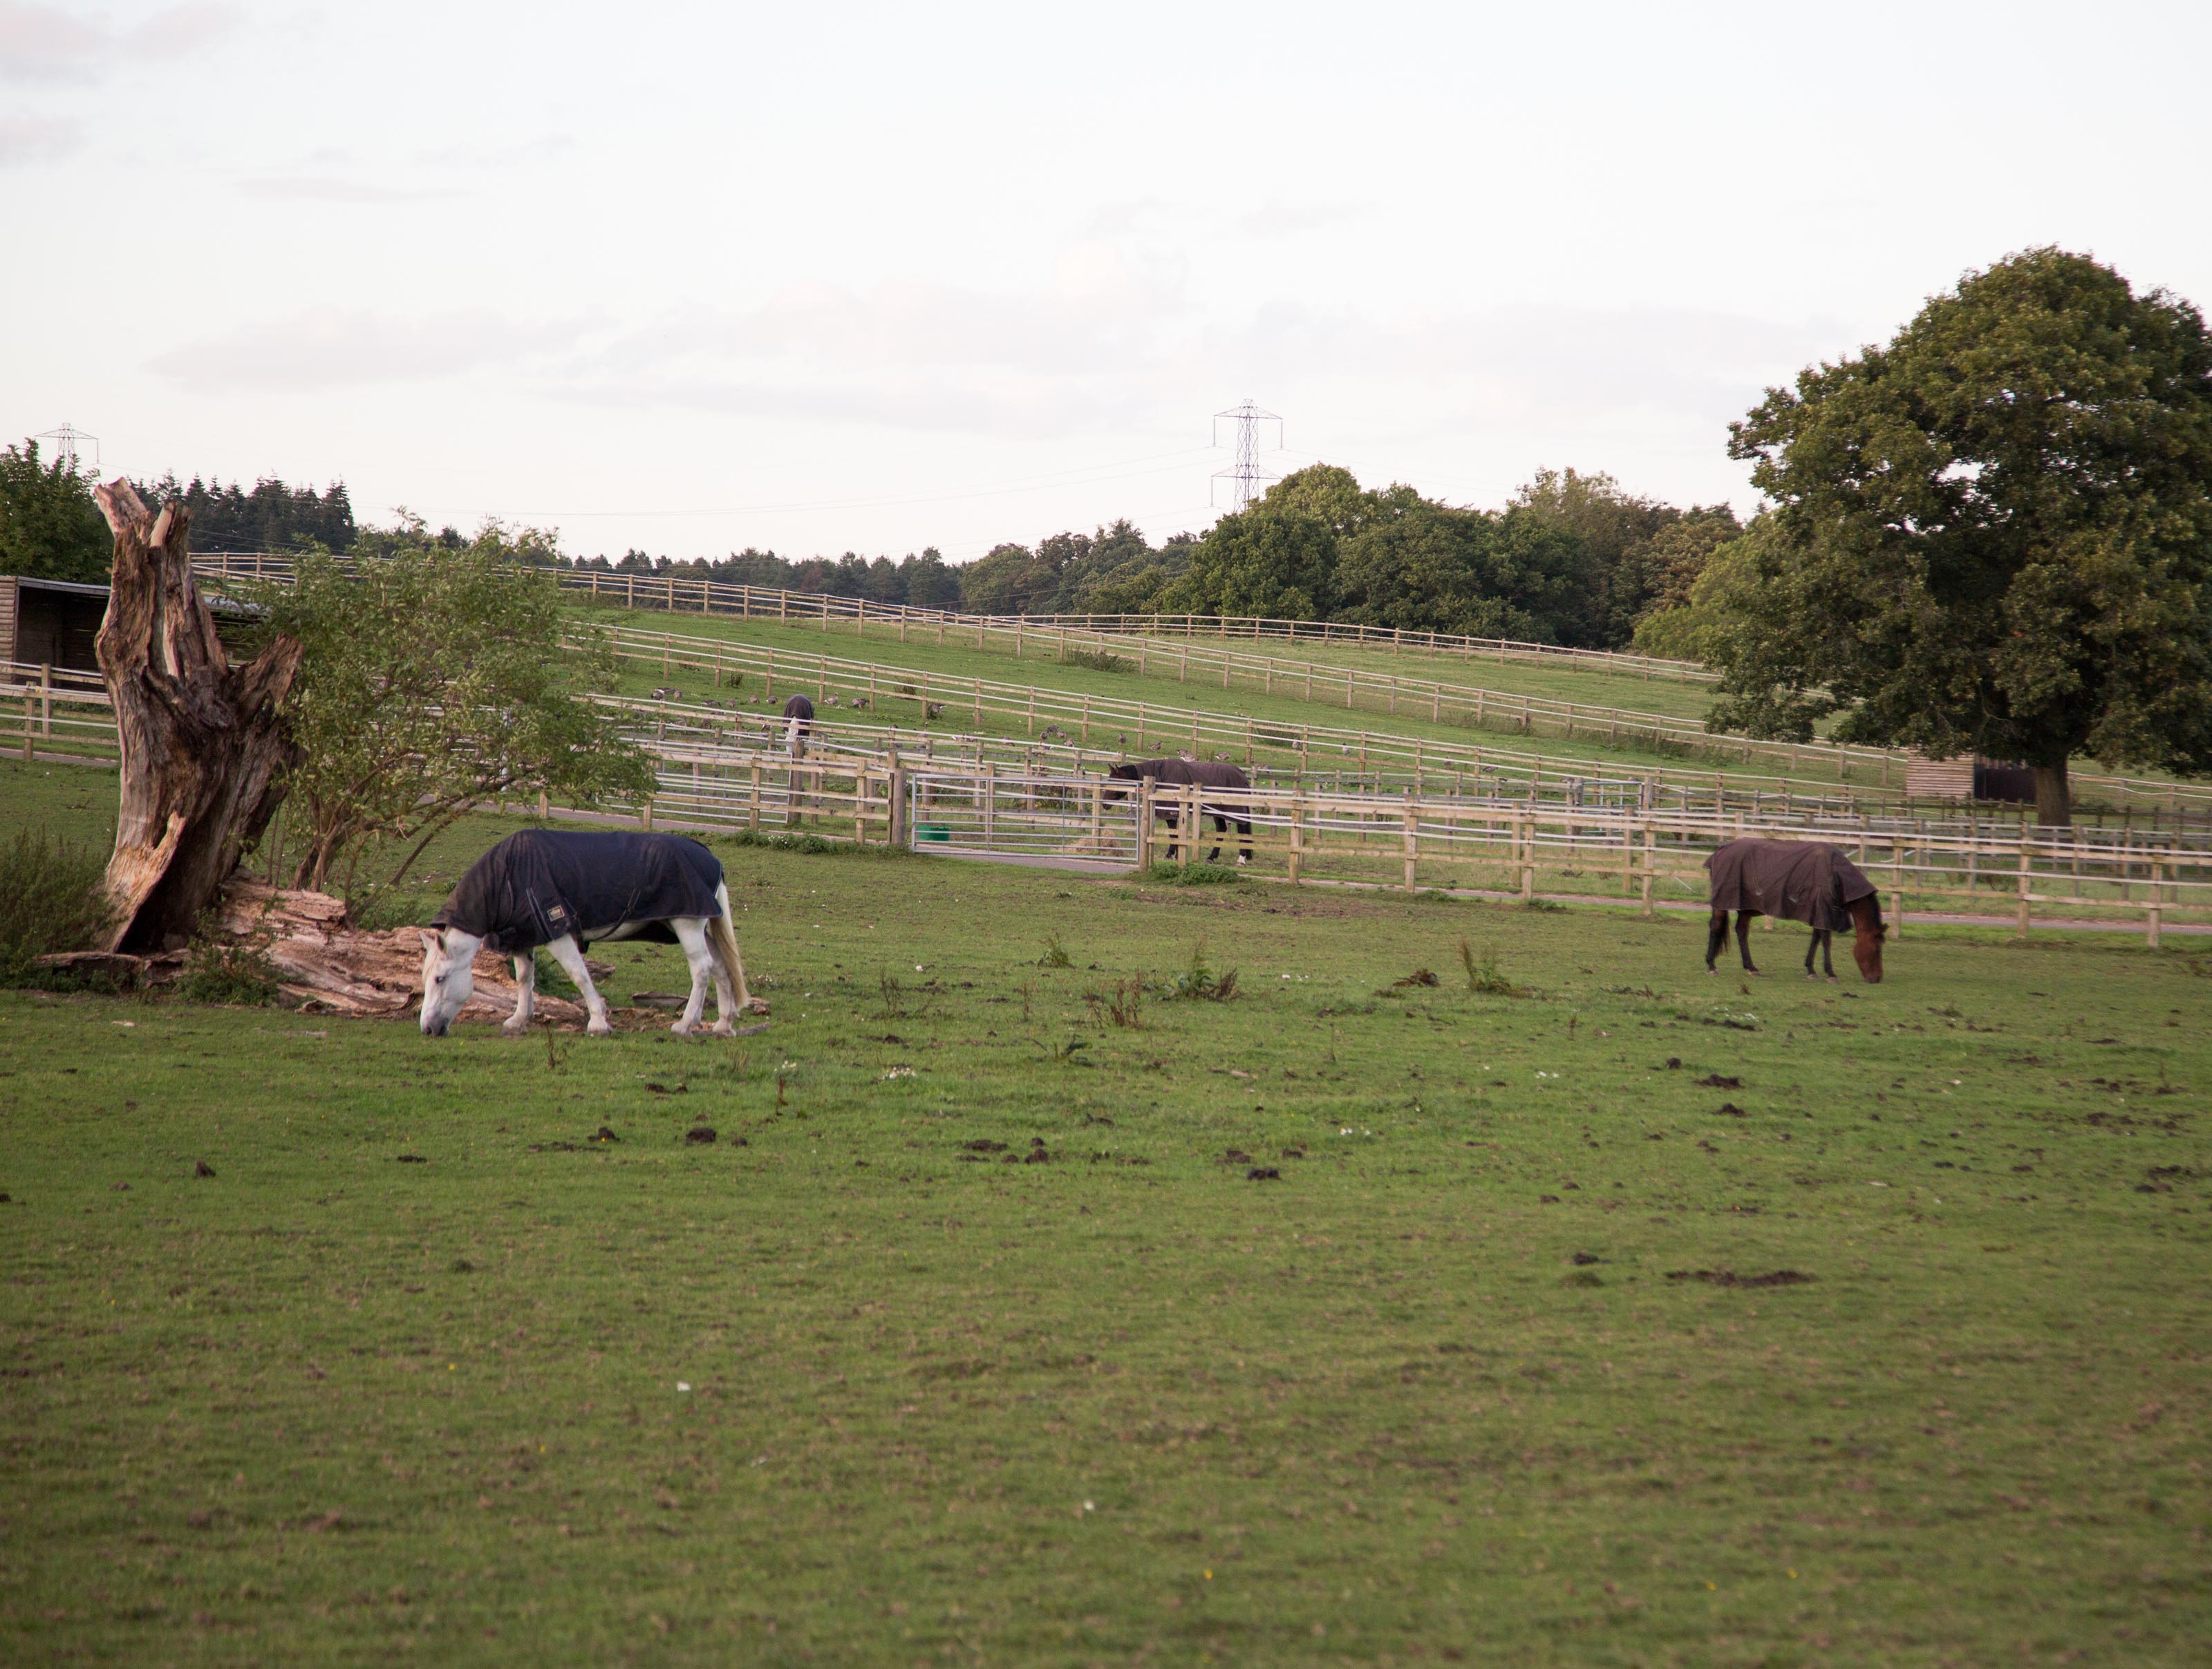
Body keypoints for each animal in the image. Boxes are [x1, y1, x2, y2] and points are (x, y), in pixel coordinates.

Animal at [415, 828, 760, 1036]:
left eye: (439, 979)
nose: (428, 1029)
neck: (509, 876)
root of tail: (710, 858)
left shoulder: (558, 935)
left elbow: (579, 975)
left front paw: (598, 1021)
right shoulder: (524, 937)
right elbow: (525, 979)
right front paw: (519, 1019)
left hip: (687, 926)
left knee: (701, 969)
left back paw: (686, 1024)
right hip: (699, 928)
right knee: (720, 967)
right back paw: (723, 1024)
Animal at [1101, 752, 1256, 859]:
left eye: (1116, 782)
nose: (1104, 804)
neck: (1160, 776)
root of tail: (1242, 774)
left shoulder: (1171, 812)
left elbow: (1173, 834)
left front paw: (1171, 854)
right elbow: (1173, 833)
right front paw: (1174, 854)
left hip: (1234, 811)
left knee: (1241, 829)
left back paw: (1241, 859)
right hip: (1218, 813)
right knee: (1222, 830)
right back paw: (1212, 857)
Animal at [1707, 832, 1884, 973]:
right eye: (1876, 949)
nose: (1876, 979)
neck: (1835, 873)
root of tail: (1719, 852)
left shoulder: (1819, 911)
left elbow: (1816, 937)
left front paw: (1811, 969)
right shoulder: (1823, 910)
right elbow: (1826, 939)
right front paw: (1830, 973)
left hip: (1746, 907)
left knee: (1742, 931)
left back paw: (1751, 967)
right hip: (1722, 904)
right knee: (1716, 926)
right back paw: (1711, 965)